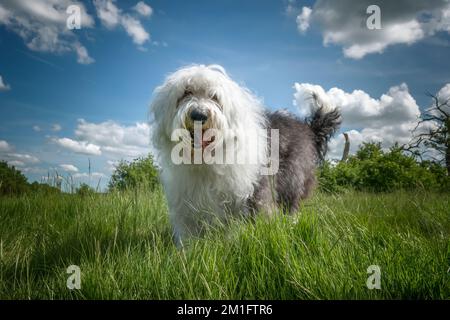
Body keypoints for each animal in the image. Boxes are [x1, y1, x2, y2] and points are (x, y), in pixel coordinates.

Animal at [149, 64, 340, 245]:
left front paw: (232, 243)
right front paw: (186, 251)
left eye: (214, 97)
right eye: (186, 92)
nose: (199, 114)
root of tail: (307, 129)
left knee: (291, 205)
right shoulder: (185, 201)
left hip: (292, 178)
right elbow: (187, 232)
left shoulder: (249, 193)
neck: (206, 159)